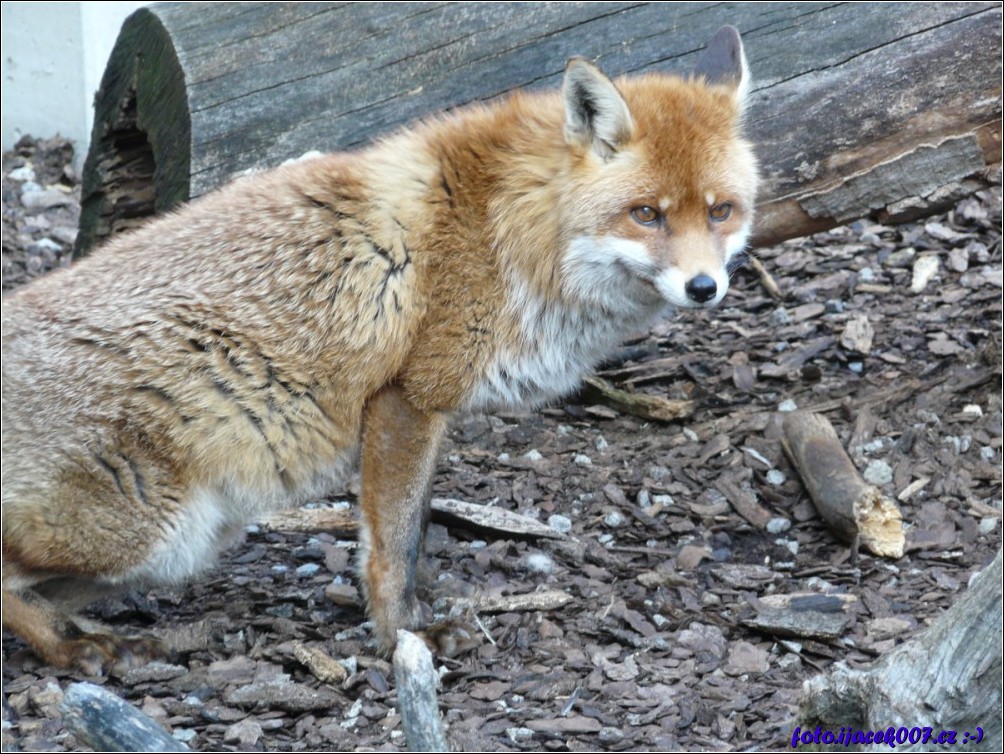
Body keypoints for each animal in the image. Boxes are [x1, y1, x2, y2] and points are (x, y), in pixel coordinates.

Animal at [0, 26, 755, 670]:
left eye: (721, 211)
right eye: (647, 214)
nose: (704, 287)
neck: (513, 230)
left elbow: (410, 534)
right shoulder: (409, 402)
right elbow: (394, 546)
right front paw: (401, 638)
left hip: (184, 545)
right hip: (145, 532)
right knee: (7, 580)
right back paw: (70, 650)